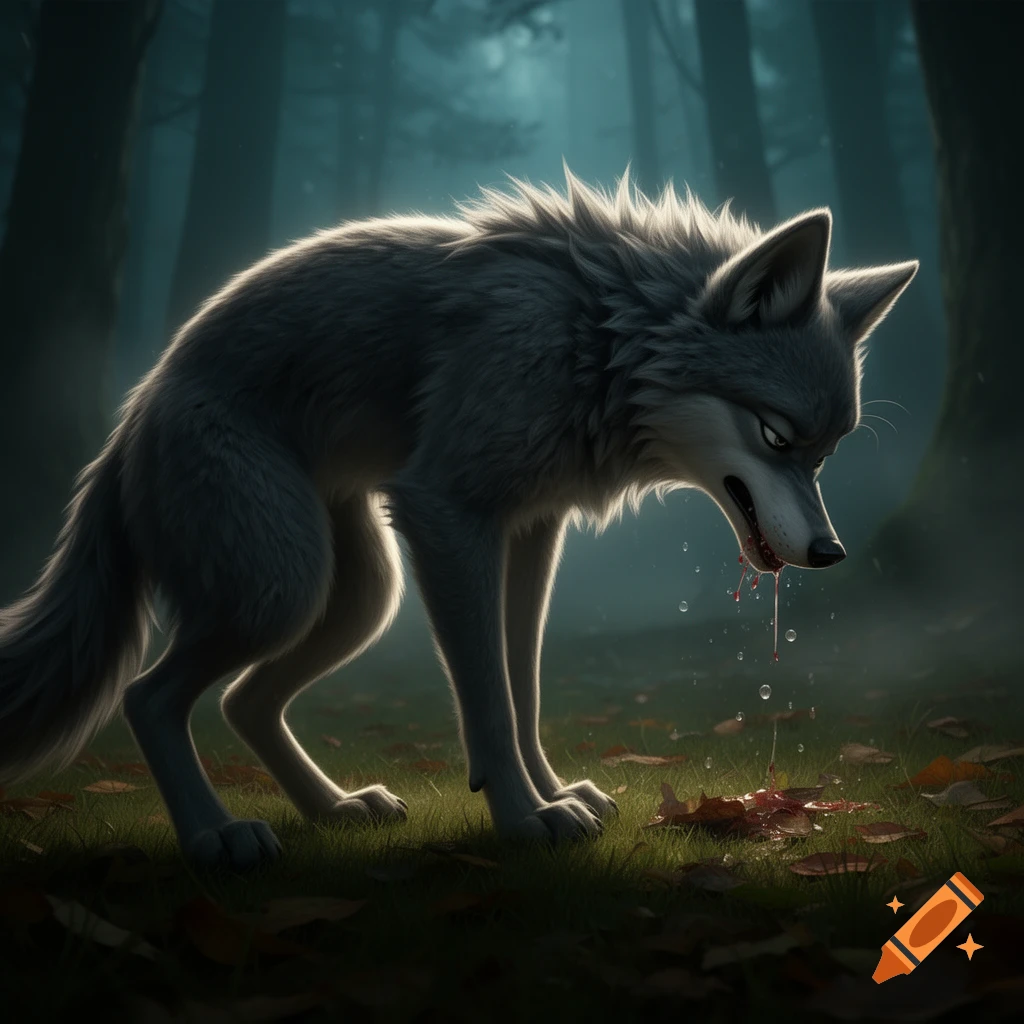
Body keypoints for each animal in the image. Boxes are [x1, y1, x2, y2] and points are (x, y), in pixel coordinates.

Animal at [0, 168, 917, 869]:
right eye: (777, 437)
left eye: (827, 452)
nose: (832, 552)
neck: (592, 339)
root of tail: (124, 430)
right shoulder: (447, 515)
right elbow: (487, 699)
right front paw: (525, 818)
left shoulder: (530, 531)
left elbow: (524, 690)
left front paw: (556, 794)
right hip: (283, 587)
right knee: (150, 699)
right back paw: (215, 836)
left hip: (355, 599)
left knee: (242, 702)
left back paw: (335, 810)